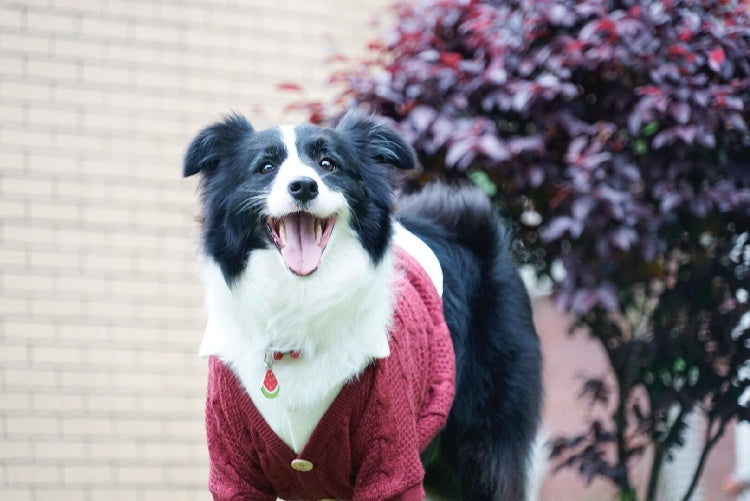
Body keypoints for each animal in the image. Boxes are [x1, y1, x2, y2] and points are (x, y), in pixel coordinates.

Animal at [185, 111, 544, 498]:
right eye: (265, 167)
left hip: (483, 436)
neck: (298, 299)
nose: (304, 186)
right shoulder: (234, 468)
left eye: (328, 164)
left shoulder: (392, 454)